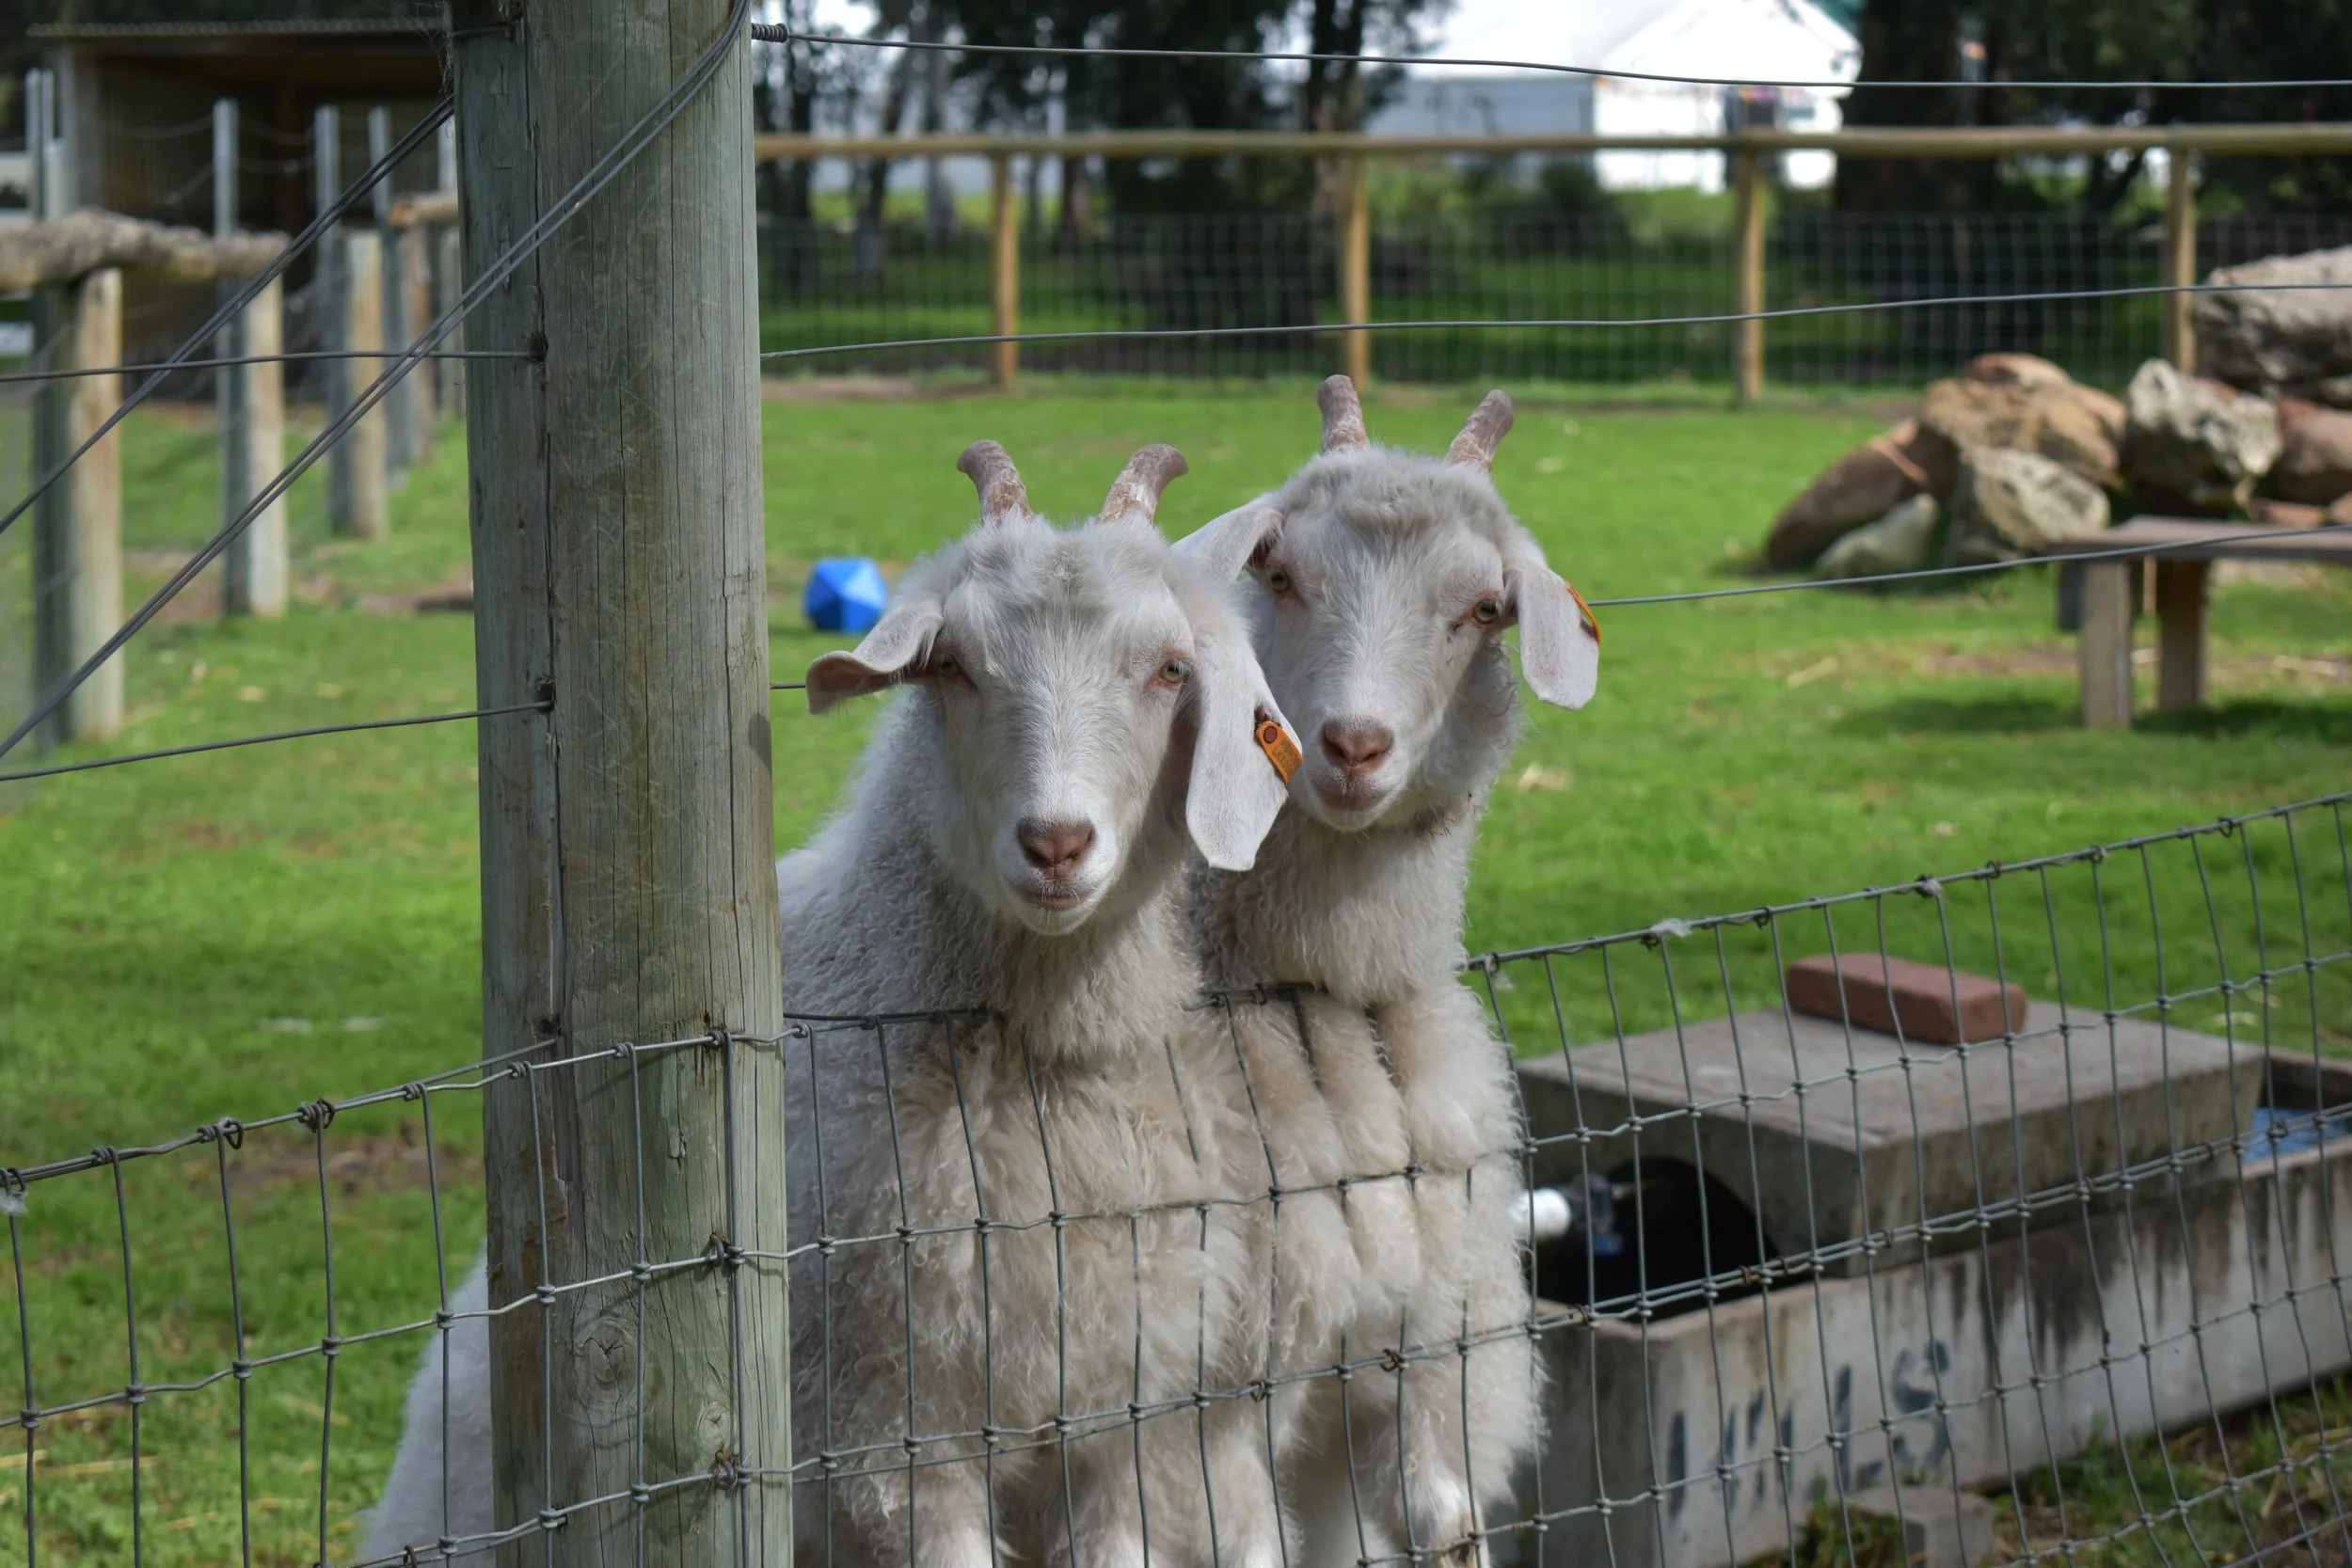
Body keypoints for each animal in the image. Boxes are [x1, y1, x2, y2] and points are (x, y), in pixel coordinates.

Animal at [1175, 378, 1601, 1568]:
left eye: (1484, 608)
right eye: (1278, 571)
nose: (1352, 745)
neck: (1321, 996)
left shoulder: (1431, 1347)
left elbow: (1446, 1525)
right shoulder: (1218, 1392)